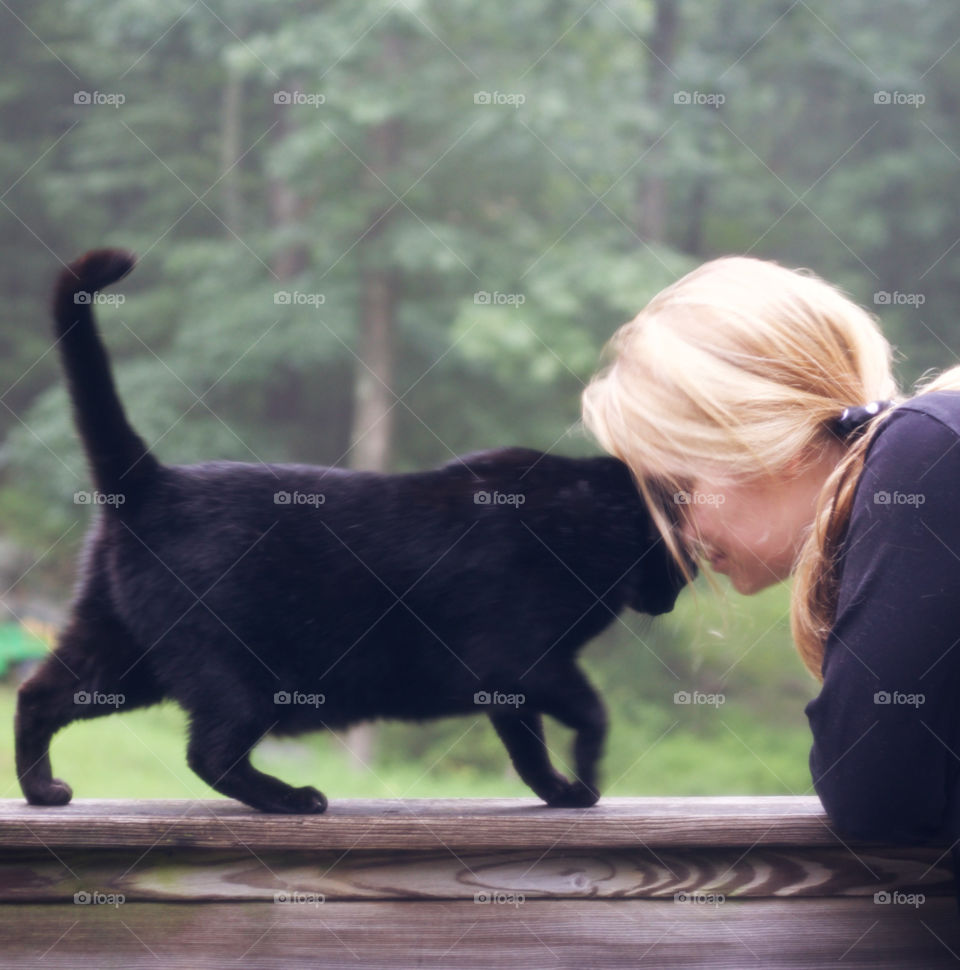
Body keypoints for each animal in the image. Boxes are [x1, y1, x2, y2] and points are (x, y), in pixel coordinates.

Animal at [15, 248, 688, 808]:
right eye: (683, 557)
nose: (677, 595)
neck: (583, 523)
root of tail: (153, 478)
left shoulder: (511, 681)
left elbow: (527, 748)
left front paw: (559, 792)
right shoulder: (519, 659)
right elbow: (591, 712)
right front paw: (588, 778)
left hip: (120, 652)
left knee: (36, 694)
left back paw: (43, 791)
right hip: (233, 673)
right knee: (209, 751)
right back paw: (292, 799)